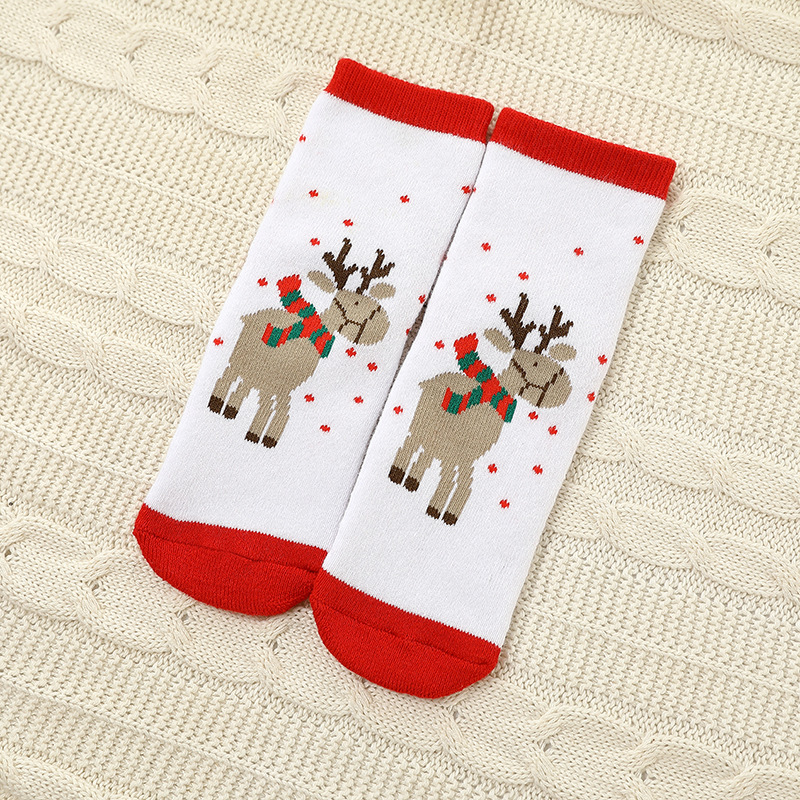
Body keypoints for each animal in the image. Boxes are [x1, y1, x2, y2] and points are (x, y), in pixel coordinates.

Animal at [208, 238, 396, 447]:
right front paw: (256, 435)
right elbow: (266, 407)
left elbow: (281, 411)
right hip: (238, 359)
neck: (312, 332)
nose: (383, 322)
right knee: (228, 376)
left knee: (243, 387)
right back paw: (217, 402)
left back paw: (231, 409)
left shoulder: (282, 388)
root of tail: (255, 314)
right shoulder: (271, 382)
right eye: (355, 302)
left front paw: (266, 437)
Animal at [388, 294, 576, 525]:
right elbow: (449, 480)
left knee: (426, 455)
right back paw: (398, 473)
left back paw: (412, 482)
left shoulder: (466, 458)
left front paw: (448, 514)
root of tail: (433, 380)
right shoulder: (454, 453)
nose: (564, 387)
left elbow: (464, 484)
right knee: (411, 445)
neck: (491, 398)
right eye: (534, 363)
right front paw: (436, 509)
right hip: (420, 426)